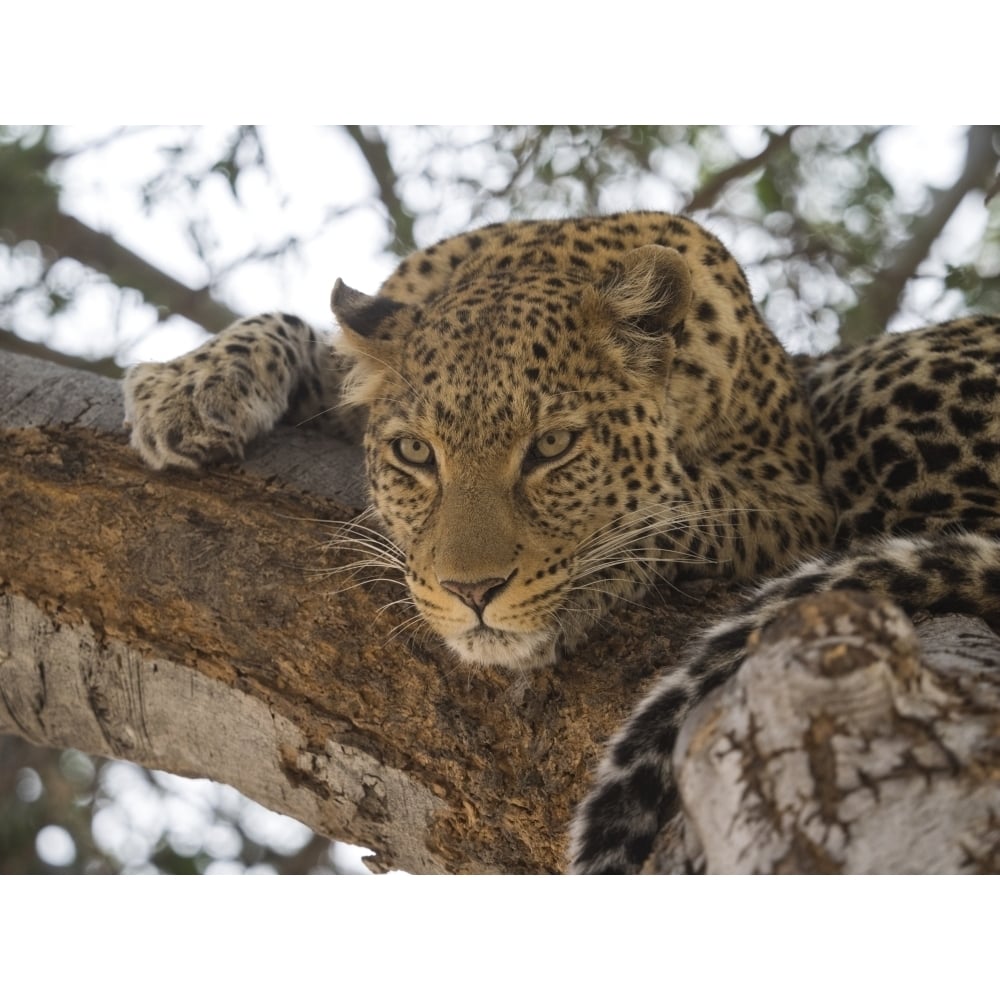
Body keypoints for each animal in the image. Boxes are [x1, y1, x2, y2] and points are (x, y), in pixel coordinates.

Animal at [123, 213, 1000, 876]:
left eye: (552, 448)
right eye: (415, 454)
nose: (473, 592)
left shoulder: (791, 498)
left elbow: (676, 507)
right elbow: (310, 337)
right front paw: (191, 384)